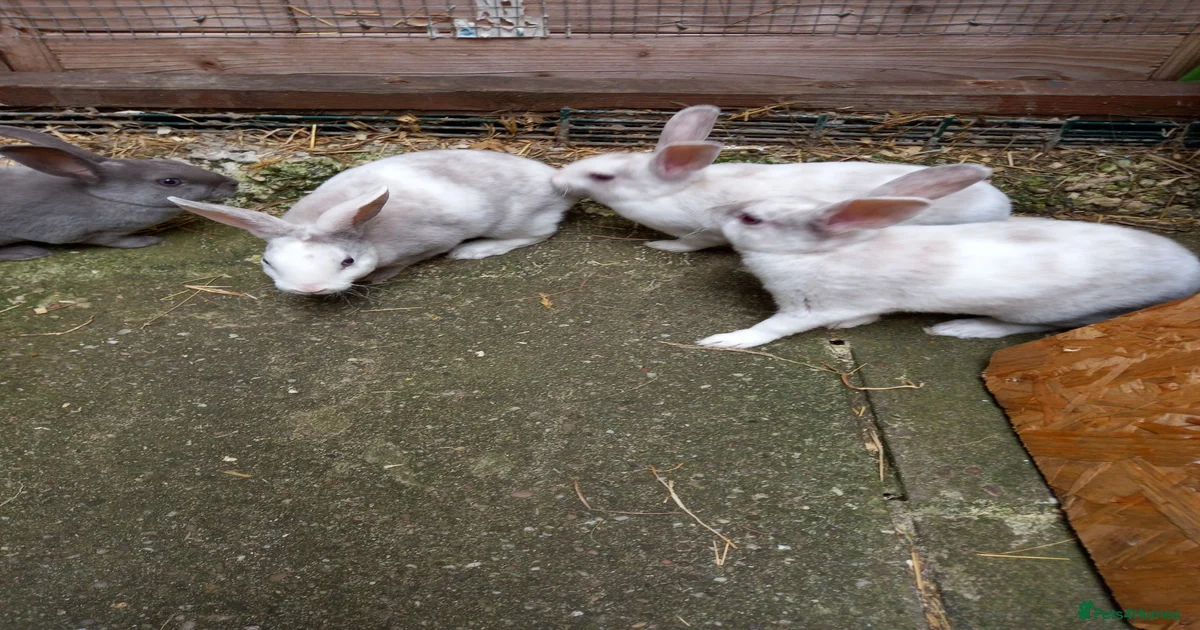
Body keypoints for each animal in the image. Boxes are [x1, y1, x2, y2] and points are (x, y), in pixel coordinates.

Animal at [0, 125, 239, 261]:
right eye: (170, 181)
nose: (233, 184)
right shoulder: (96, 232)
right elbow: (116, 241)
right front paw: (149, 240)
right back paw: (28, 252)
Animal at [169, 150, 578, 296]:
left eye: (347, 261)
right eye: (269, 262)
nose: (311, 288)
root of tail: (554, 181)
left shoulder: (427, 244)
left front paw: (380, 276)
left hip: (516, 221)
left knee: (538, 233)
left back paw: (474, 250)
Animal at [550, 105, 1011, 253]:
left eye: (602, 175)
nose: (557, 182)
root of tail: (1002, 203)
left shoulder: (703, 233)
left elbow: (689, 245)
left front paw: (660, 246)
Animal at [694, 163, 1200, 348]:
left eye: (752, 219)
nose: (715, 213)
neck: (818, 252)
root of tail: (1187, 270)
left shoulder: (804, 308)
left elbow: (770, 329)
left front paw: (724, 340)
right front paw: (854, 325)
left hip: (1046, 309)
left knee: (1035, 327)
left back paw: (961, 328)